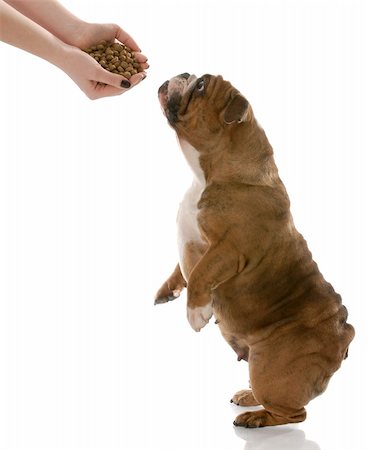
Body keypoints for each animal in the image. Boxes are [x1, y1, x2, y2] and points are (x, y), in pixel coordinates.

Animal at [155, 72, 354, 428]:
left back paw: (256, 418)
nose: (185, 74)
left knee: (294, 414)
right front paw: (168, 291)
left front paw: (196, 312)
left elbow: (202, 272)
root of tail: (345, 335)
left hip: (271, 371)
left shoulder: (229, 248)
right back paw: (248, 398)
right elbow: (180, 269)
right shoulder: (191, 241)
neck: (206, 173)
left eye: (201, 86)